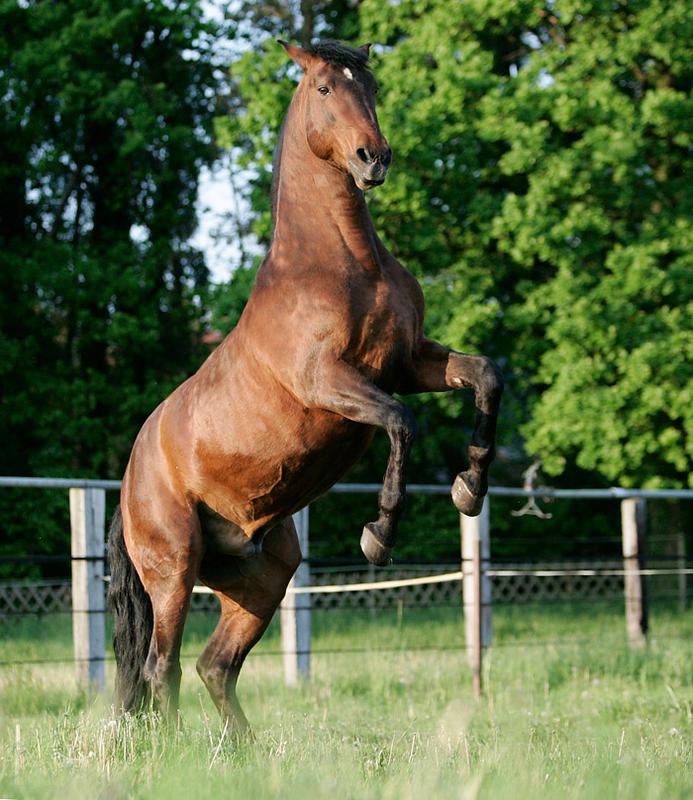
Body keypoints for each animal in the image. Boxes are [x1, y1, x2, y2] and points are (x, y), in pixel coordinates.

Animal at [108, 40, 500, 736]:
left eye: (369, 84)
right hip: (173, 569)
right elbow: (402, 422)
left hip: (264, 576)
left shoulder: (410, 363)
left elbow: (485, 376)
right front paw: (380, 533)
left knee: (215, 666)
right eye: (323, 87)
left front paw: (470, 487)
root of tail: (130, 481)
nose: (374, 157)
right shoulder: (332, 382)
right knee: (162, 669)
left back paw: (246, 751)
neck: (343, 264)